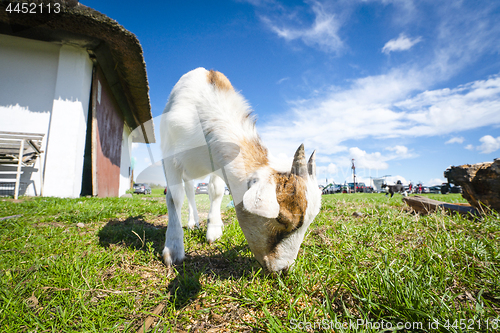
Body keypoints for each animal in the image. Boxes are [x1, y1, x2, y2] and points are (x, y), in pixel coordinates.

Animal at [161, 67, 324, 272]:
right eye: (281, 219)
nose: (283, 270)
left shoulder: (218, 162)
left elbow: (216, 192)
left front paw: (214, 230)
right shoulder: (169, 156)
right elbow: (174, 197)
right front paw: (173, 249)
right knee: (189, 191)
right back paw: (192, 222)